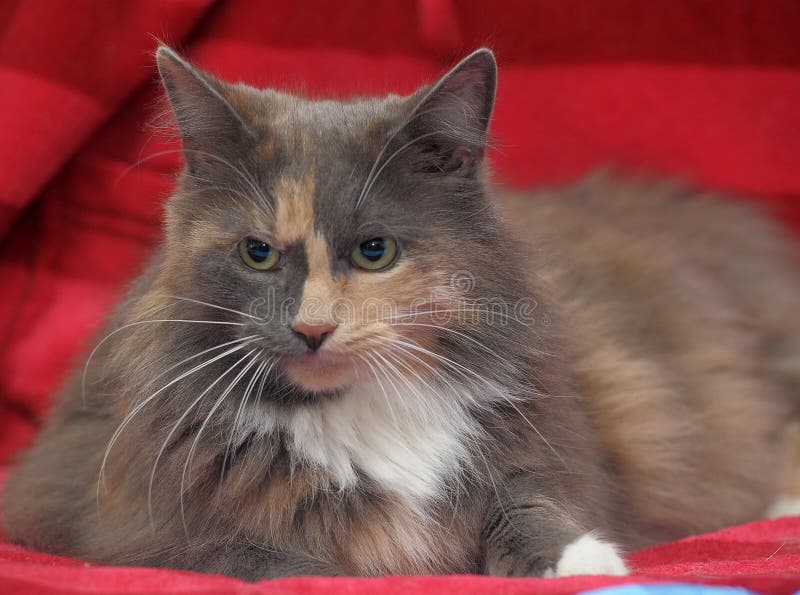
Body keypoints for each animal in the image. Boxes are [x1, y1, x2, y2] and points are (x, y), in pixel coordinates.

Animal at [4, 45, 800, 584]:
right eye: (258, 254)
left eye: (375, 252)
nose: (312, 328)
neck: (358, 409)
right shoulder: (135, 521)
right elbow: (269, 558)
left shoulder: (542, 440)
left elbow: (535, 504)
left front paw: (583, 562)